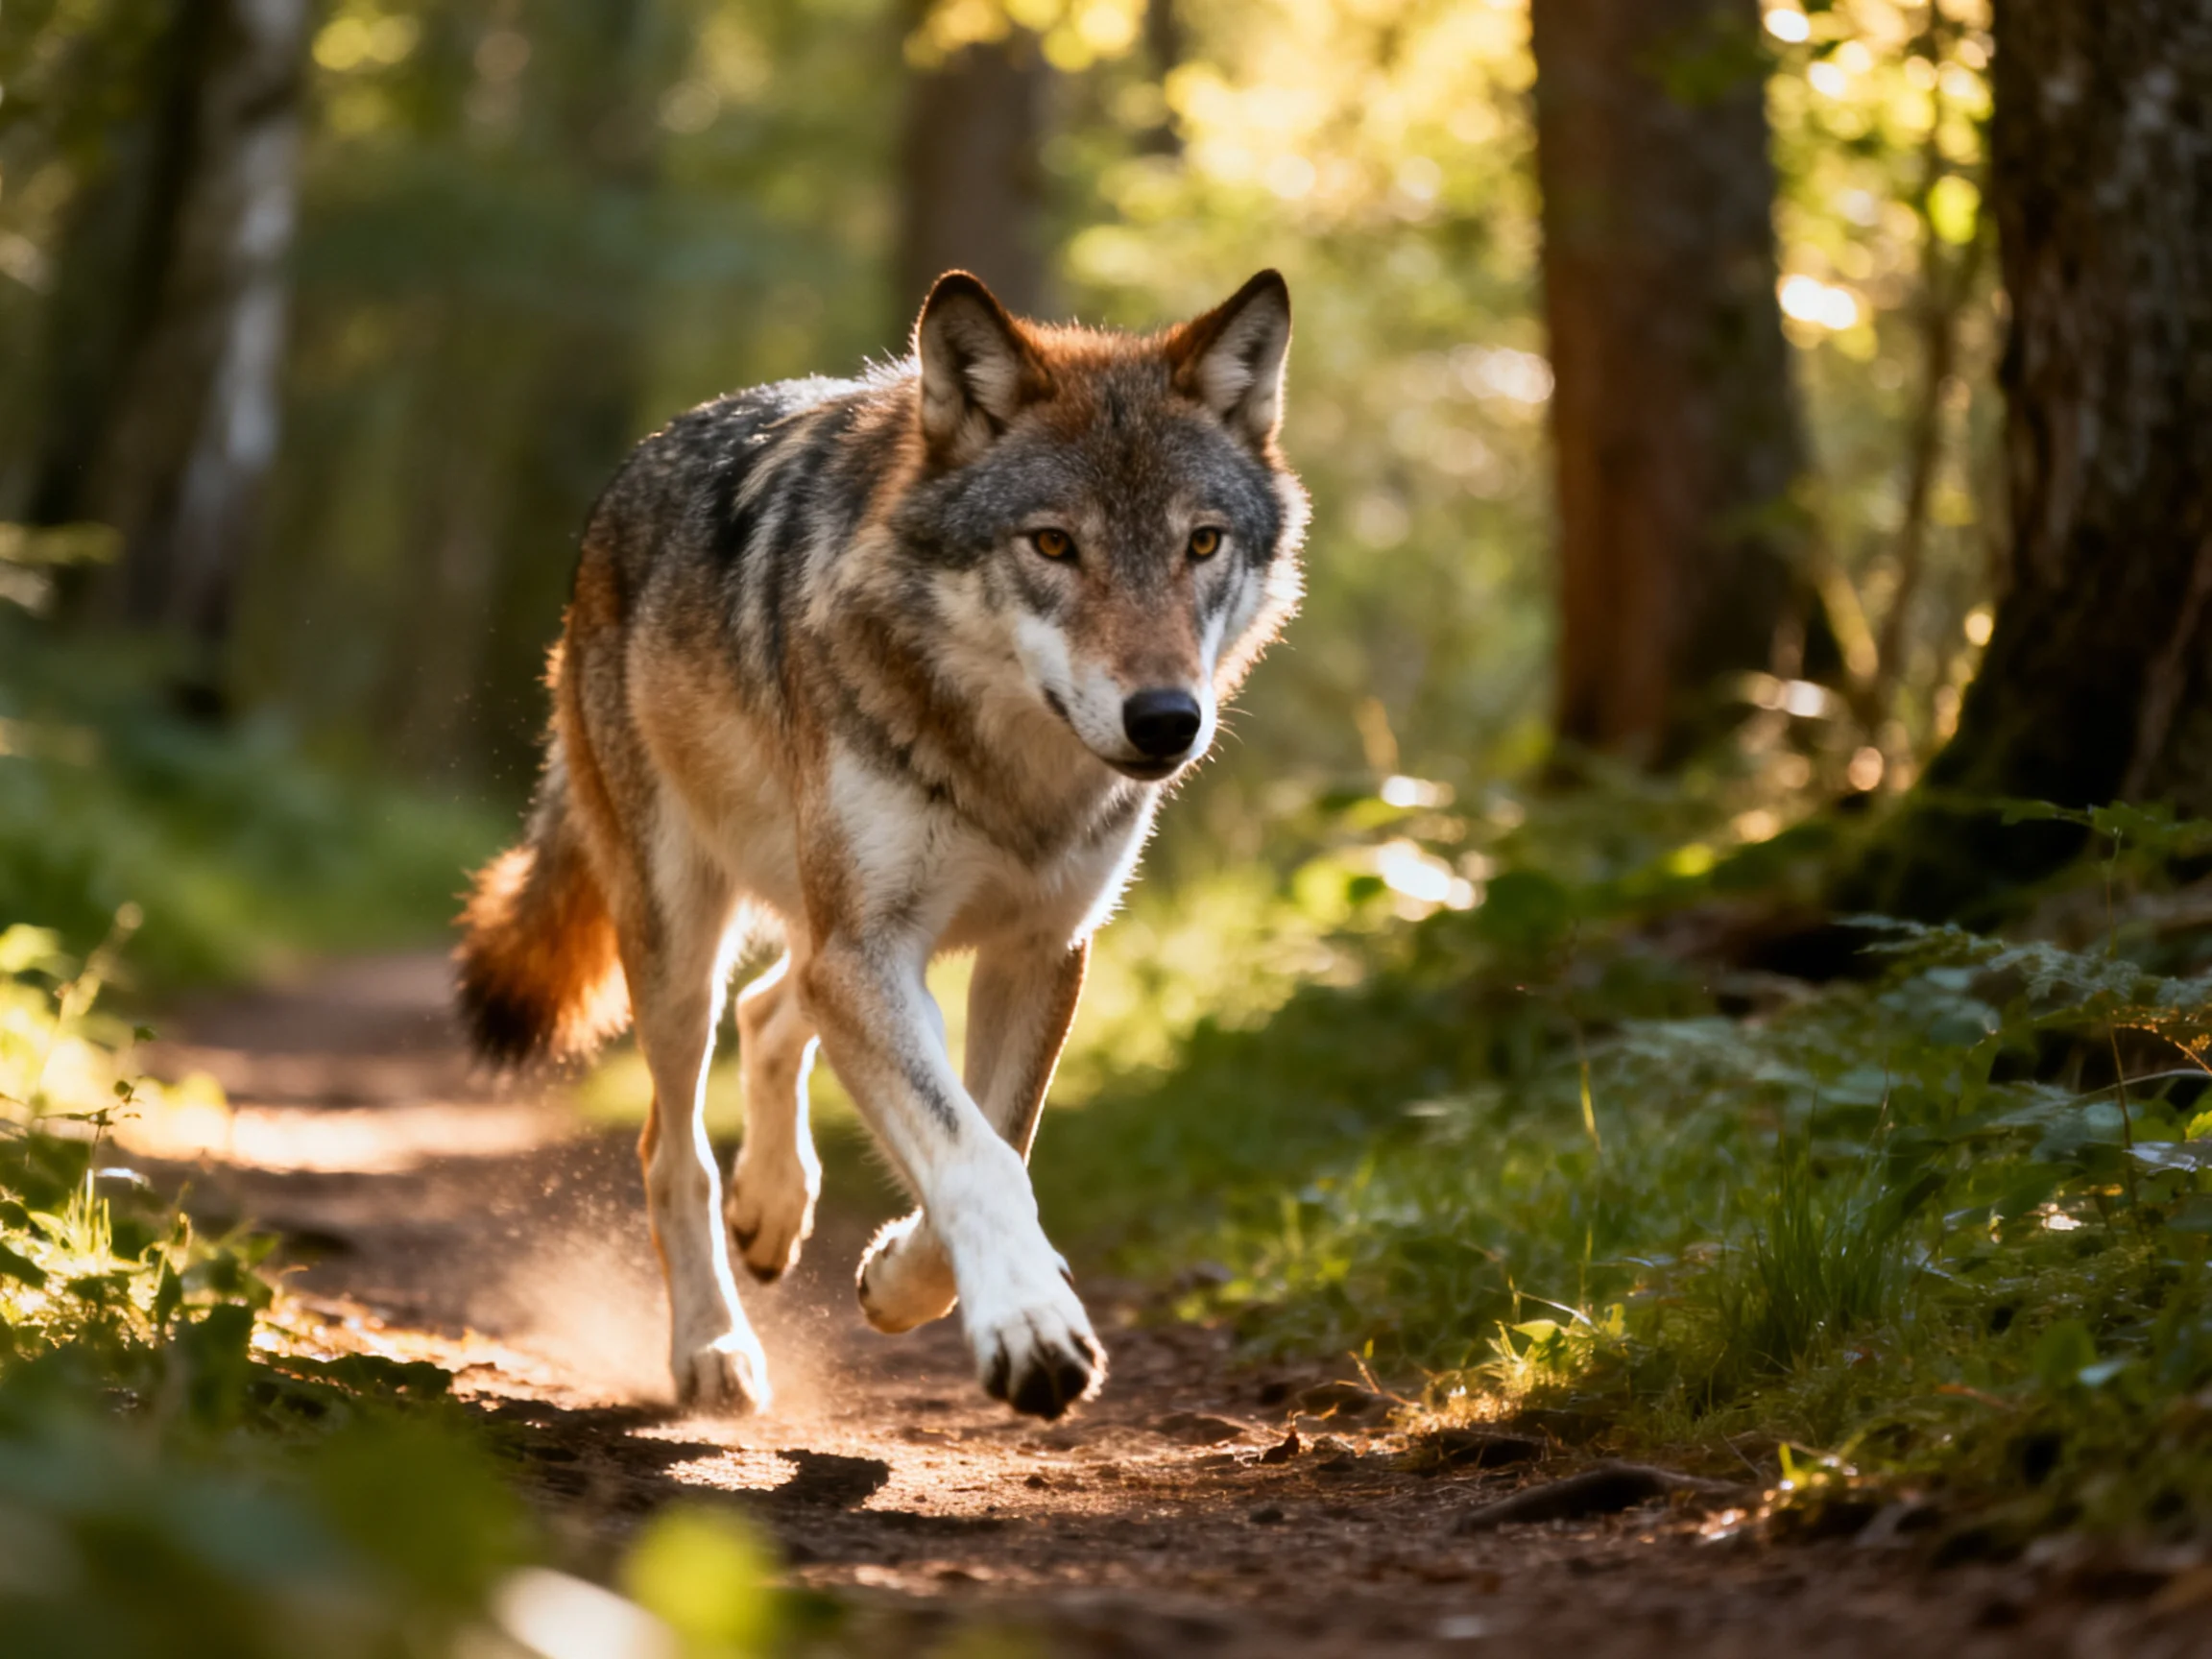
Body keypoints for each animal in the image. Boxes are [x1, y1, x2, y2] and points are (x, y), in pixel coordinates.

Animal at [454, 270, 1307, 1420]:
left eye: (1202, 543)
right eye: (1053, 544)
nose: (1168, 720)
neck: (1008, 773)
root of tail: (632, 474)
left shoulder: (1038, 952)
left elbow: (1002, 1139)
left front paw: (904, 1283)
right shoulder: (872, 949)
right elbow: (977, 1156)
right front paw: (1029, 1326)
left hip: (826, 940)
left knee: (775, 1011)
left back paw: (773, 1212)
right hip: (684, 941)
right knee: (674, 1148)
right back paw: (712, 1348)